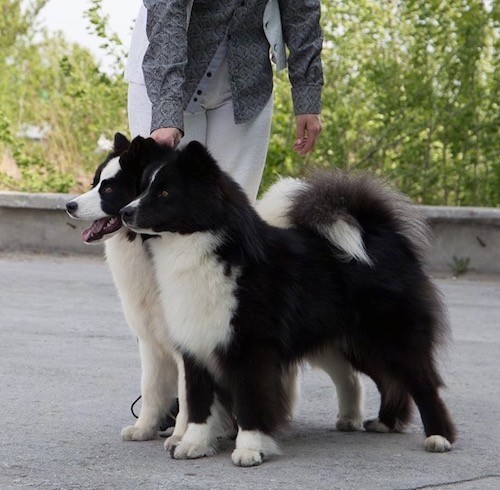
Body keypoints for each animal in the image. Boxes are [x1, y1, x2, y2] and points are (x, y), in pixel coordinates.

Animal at [119, 136, 456, 466]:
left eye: (164, 192)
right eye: (142, 187)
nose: (125, 212)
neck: (207, 249)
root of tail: (381, 233)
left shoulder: (251, 349)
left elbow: (250, 400)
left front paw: (250, 449)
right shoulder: (196, 346)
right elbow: (199, 403)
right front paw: (194, 444)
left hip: (391, 337)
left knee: (424, 384)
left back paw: (439, 437)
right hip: (357, 343)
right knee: (390, 380)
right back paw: (387, 422)